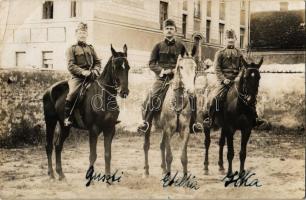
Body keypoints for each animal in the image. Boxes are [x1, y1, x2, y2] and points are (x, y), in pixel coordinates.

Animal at [42, 44, 130, 180]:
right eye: (116, 67)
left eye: (128, 68)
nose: (124, 92)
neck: (103, 97)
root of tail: (49, 90)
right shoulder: (93, 130)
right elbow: (93, 155)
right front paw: (90, 179)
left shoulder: (110, 129)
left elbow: (107, 155)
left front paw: (108, 180)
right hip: (50, 122)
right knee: (49, 146)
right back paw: (51, 174)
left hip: (64, 126)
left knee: (58, 146)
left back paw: (61, 174)